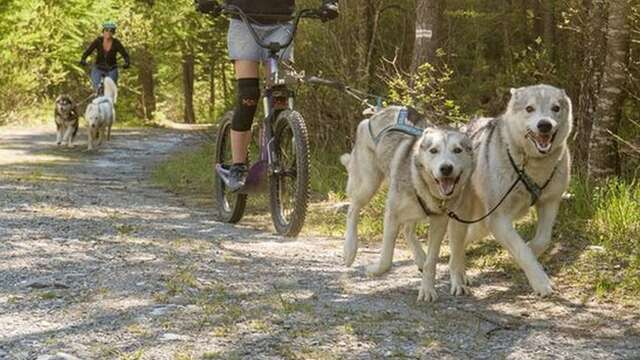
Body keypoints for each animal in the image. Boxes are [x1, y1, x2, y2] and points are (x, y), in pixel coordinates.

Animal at [344, 106, 476, 300]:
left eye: (457, 150)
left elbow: (431, 261)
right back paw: (349, 250)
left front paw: (427, 289)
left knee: (407, 230)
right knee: (353, 209)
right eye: (434, 151)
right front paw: (375, 270)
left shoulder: (440, 221)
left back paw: (420, 258)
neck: (422, 184)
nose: (446, 168)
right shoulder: (392, 213)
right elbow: (386, 258)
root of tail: (378, 112)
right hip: (368, 184)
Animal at [444, 85, 576, 298]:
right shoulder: (499, 220)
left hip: (482, 224)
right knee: (455, 252)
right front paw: (541, 283)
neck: (531, 164)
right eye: (529, 108)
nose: (545, 125)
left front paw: (532, 250)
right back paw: (458, 283)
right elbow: (522, 251)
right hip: (466, 218)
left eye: (555, 108)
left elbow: (542, 240)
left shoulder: (550, 203)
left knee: (466, 241)